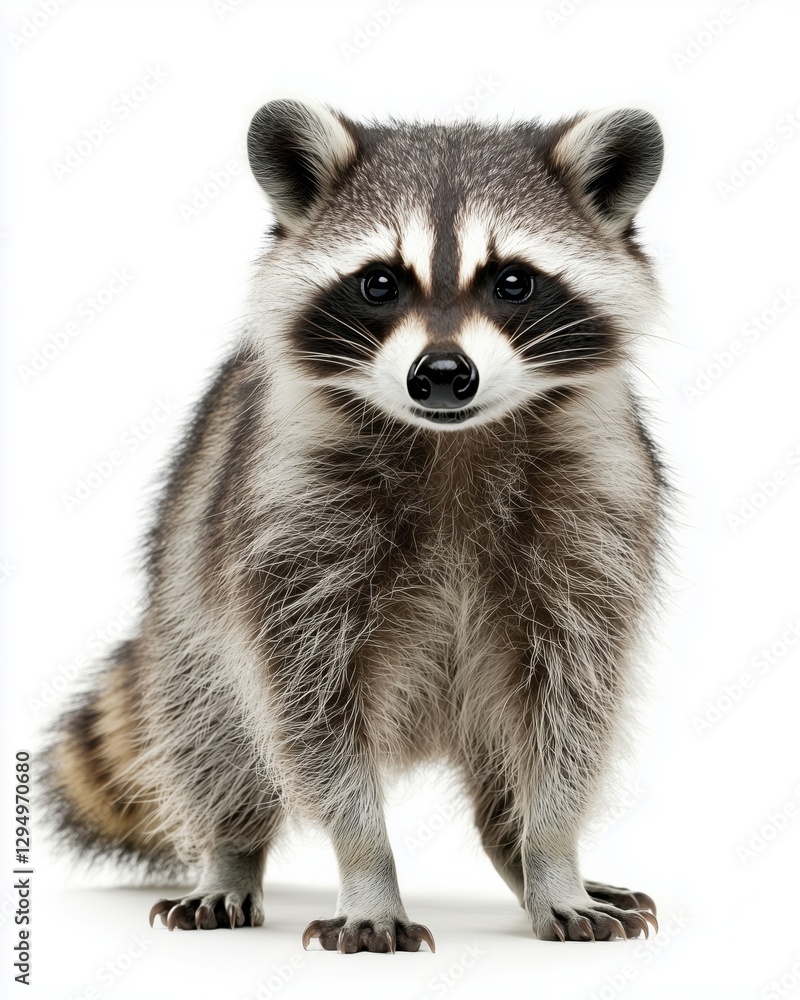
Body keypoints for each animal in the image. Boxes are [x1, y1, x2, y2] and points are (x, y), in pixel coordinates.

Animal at [42, 97, 667, 951]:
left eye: (513, 282)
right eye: (379, 283)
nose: (443, 374)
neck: (452, 442)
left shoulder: (594, 515)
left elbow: (570, 707)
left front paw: (552, 853)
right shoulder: (287, 521)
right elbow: (310, 713)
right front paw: (368, 870)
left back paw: (513, 852)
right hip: (186, 600)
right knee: (211, 729)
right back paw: (229, 853)